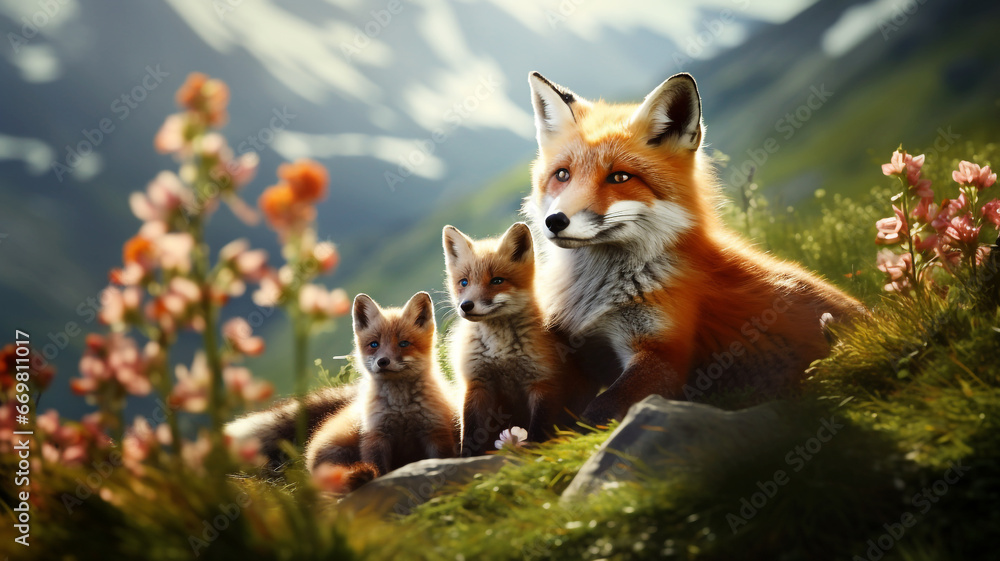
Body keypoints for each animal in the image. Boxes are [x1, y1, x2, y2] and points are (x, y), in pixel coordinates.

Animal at [304, 292, 459, 492]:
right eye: (374, 344)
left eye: (403, 343)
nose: (383, 361)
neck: (401, 408)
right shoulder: (376, 436)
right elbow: (379, 468)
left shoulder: (435, 430)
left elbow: (440, 458)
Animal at [443, 222, 598, 456]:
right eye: (464, 282)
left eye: (497, 281)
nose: (466, 305)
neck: (500, 351)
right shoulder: (477, 384)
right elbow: (470, 432)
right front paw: (465, 458)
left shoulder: (542, 381)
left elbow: (539, 427)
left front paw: (533, 451)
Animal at [522, 71, 866, 423]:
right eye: (562, 174)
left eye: (619, 177)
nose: (555, 221)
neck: (592, 295)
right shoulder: (568, 354)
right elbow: (545, 418)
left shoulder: (662, 352)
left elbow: (597, 412)